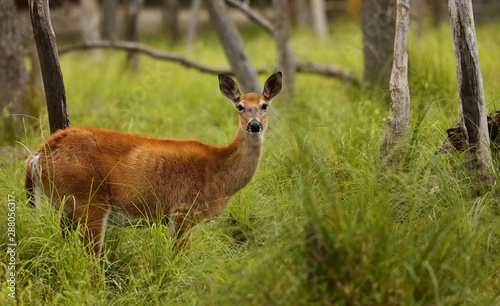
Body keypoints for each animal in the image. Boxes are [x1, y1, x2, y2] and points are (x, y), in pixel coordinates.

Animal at [25, 72, 284, 258]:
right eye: (240, 106)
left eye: (265, 105)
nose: (254, 125)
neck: (220, 172)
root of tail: (38, 155)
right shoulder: (182, 211)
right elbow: (180, 259)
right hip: (88, 201)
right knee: (90, 259)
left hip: (66, 207)